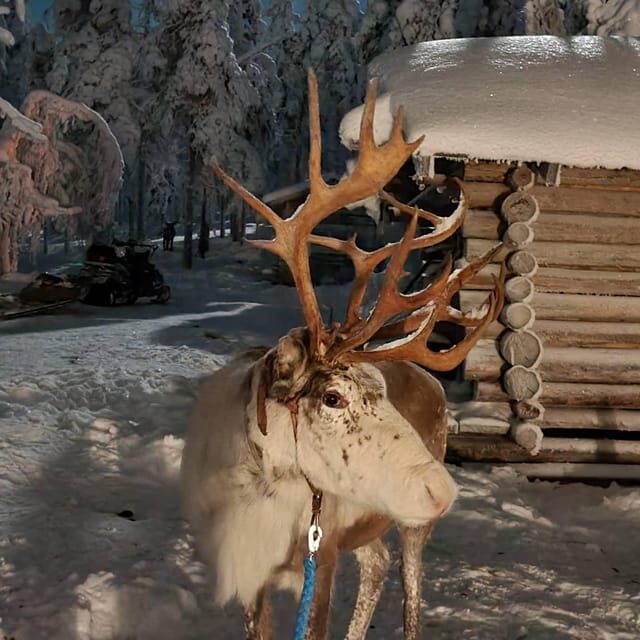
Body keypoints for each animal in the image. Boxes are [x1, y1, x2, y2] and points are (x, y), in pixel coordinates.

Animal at [180, 70, 504, 640]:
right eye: (333, 398)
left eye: (380, 391)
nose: (441, 490)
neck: (256, 494)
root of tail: (432, 380)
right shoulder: (251, 575)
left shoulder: (323, 553)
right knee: (376, 564)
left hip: (412, 526)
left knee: (409, 591)